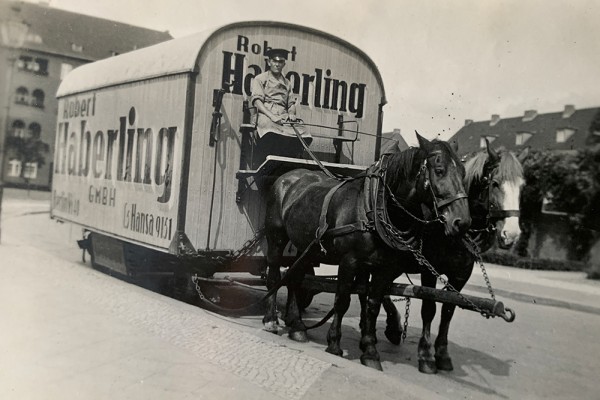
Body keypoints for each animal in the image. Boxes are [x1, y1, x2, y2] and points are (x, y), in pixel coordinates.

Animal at [264, 133, 474, 370]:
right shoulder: (349, 261)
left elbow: (373, 305)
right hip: (276, 238)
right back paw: (271, 319)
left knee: (295, 278)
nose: (462, 221)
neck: (373, 207)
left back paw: (297, 326)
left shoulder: (385, 268)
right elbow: (342, 300)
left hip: (305, 247)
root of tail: (288, 176)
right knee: (274, 274)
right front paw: (334, 344)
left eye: (463, 172)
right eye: (439, 170)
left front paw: (370, 351)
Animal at [380, 142, 524, 374]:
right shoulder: (429, 270)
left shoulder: (461, 275)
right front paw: (426, 354)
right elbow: (429, 307)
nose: (511, 234)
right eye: (495, 183)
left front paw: (442, 353)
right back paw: (393, 326)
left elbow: (448, 309)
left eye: (522, 187)